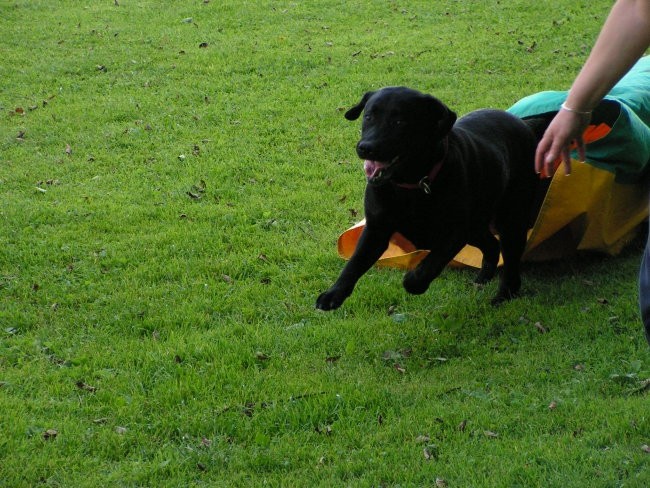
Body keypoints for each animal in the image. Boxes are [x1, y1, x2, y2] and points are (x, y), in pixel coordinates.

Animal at [314, 86, 548, 308]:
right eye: (369, 116)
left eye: (399, 121)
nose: (366, 147)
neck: (411, 185)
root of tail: (524, 124)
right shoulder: (376, 228)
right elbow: (354, 263)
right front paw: (333, 294)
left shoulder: (454, 232)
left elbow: (431, 263)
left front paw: (413, 281)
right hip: (476, 226)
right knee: (491, 244)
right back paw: (483, 277)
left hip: (510, 219)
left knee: (510, 260)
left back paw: (504, 295)